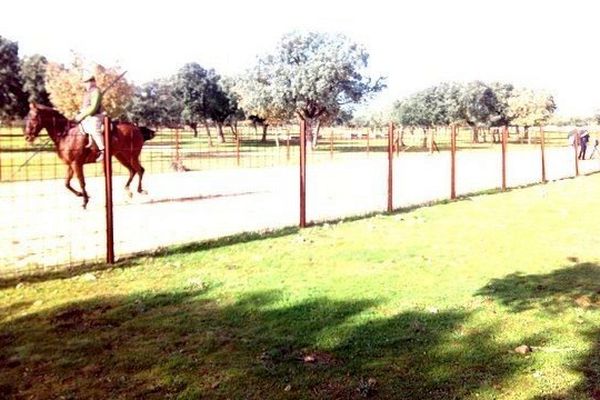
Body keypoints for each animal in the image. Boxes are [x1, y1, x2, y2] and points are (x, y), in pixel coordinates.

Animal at [23, 103, 155, 209]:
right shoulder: (71, 165)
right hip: (121, 156)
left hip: (131, 156)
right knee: (133, 171)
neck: (66, 134)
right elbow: (66, 183)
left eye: (33, 117)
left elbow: (81, 182)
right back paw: (129, 191)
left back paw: (140, 190)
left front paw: (85, 201)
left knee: (140, 170)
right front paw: (81, 195)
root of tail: (136, 128)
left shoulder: (76, 164)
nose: (27, 137)